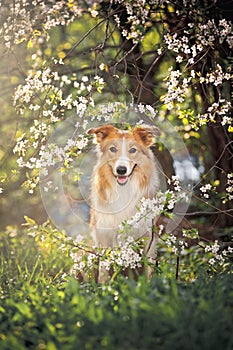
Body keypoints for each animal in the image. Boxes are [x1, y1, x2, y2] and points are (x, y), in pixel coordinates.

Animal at [86, 124, 161, 280]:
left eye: (132, 150)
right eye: (113, 149)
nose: (121, 170)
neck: (124, 189)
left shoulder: (147, 237)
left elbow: (148, 269)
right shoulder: (104, 236)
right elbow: (104, 271)